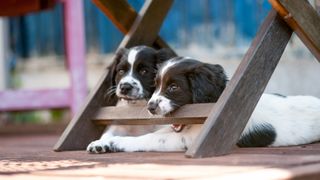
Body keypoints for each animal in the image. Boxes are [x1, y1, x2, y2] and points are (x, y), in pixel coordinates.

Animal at [96, 57, 320, 153]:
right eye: (156, 84)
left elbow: (151, 138)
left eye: (174, 87)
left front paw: (118, 143)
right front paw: (104, 143)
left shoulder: (190, 139)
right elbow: (157, 133)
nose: (150, 108)